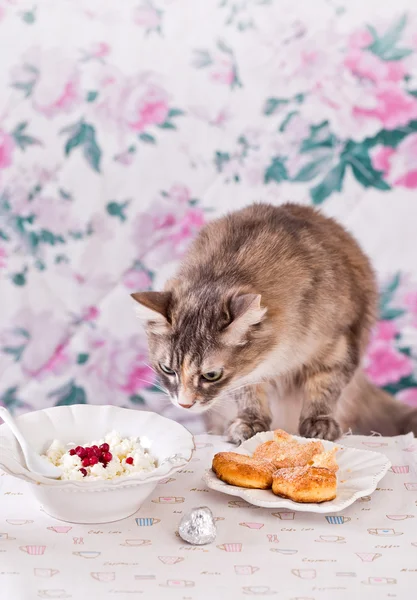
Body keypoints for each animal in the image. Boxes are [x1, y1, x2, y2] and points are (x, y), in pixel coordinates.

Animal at [131, 204, 416, 442]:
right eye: (167, 370)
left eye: (211, 375)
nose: (185, 404)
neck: (280, 355)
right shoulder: (247, 377)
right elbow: (248, 394)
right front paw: (249, 424)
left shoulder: (338, 346)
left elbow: (323, 388)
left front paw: (319, 424)